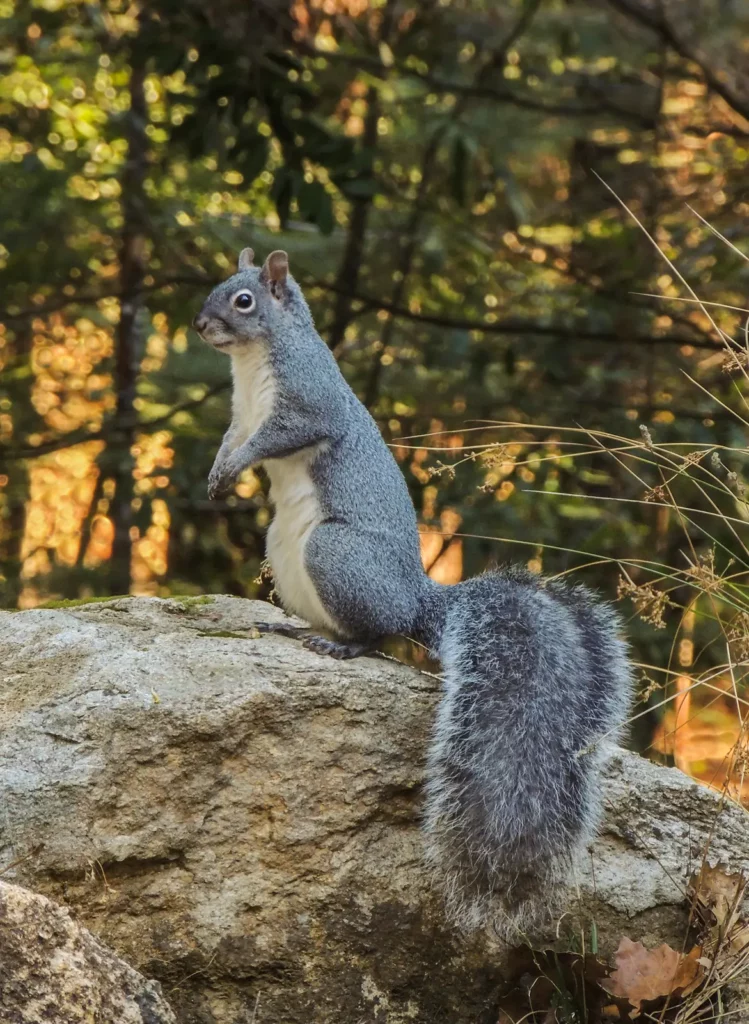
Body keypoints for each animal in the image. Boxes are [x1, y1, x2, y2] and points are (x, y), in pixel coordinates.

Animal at [192, 247, 633, 937]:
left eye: (243, 300)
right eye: (218, 287)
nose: (201, 325)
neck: (257, 359)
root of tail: (418, 597)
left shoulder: (308, 403)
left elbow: (279, 436)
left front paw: (233, 470)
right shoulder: (240, 416)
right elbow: (232, 440)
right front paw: (217, 473)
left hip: (334, 554)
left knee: (377, 634)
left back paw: (343, 646)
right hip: (284, 553)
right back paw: (298, 628)